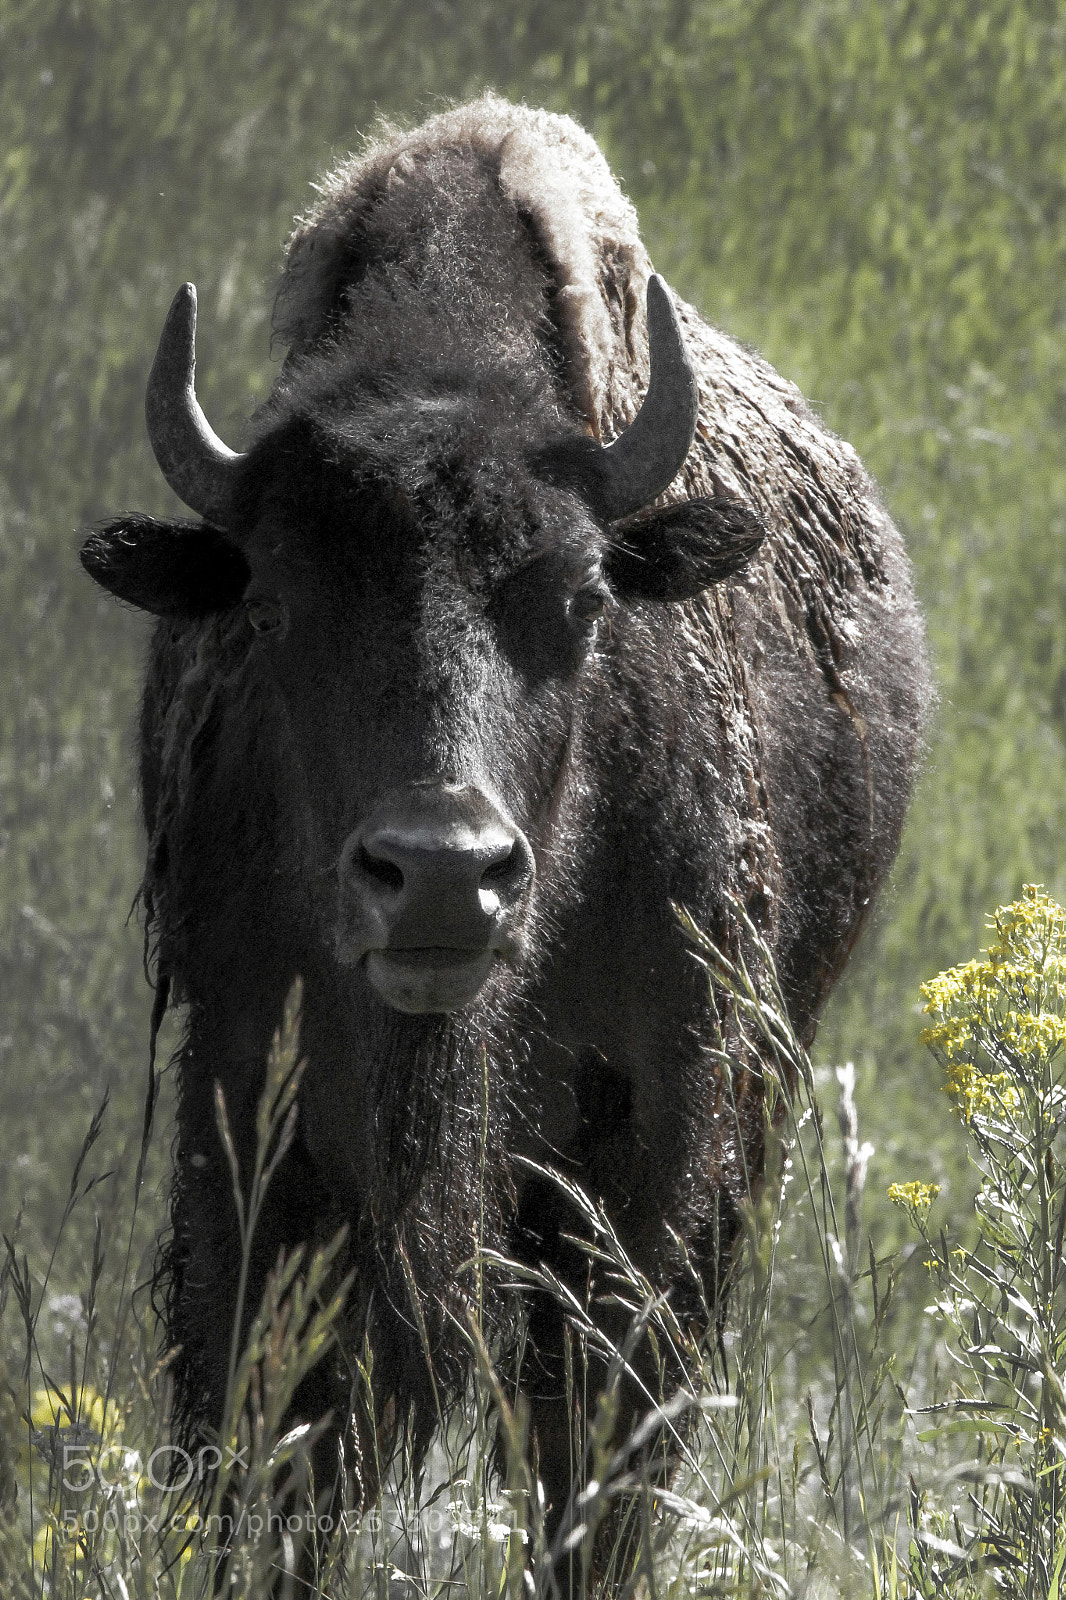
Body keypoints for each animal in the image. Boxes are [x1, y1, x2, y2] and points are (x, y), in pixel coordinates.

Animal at [81, 97, 929, 1574]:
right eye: (272, 604)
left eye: (585, 597)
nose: (439, 877)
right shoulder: (245, 1120)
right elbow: (273, 1455)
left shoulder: (648, 1148)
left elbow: (590, 1465)